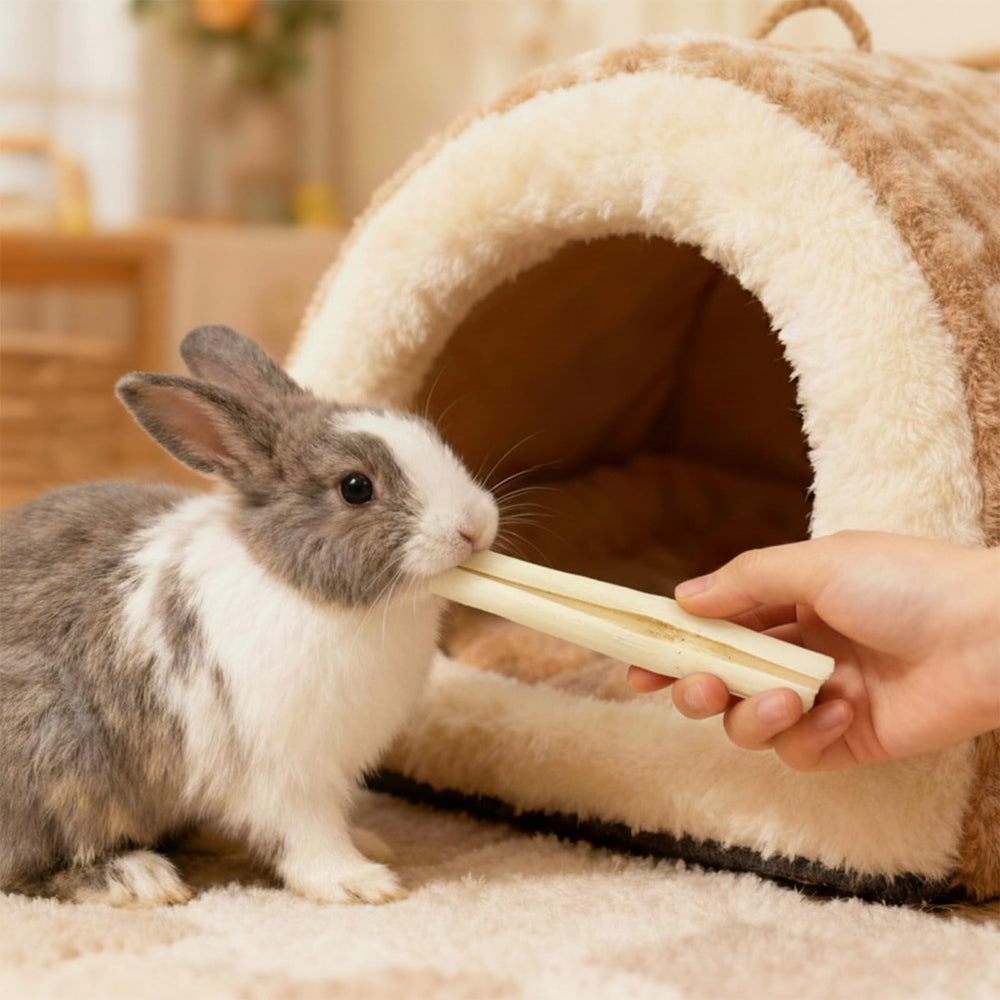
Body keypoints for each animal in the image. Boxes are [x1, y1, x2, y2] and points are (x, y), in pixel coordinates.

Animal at [0, 324, 498, 907]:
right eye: (356, 487)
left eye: (426, 433)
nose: (475, 526)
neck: (295, 585)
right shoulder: (286, 772)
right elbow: (308, 834)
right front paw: (359, 882)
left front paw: (371, 844)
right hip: (52, 756)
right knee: (28, 866)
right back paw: (137, 878)